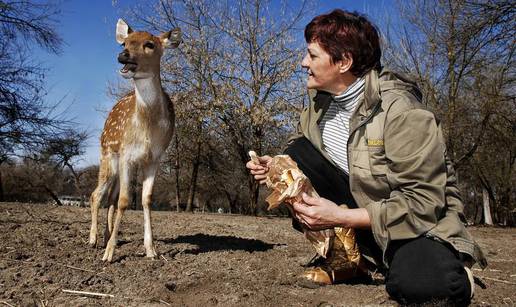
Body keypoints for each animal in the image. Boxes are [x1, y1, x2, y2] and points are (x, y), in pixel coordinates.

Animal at [86, 18, 179, 262]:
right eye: (124, 43)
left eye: (150, 44)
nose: (123, 55)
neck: (147, 128)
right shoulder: (128, 153)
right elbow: (125, 201)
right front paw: (109, 254)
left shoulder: (154, 158)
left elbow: (145, 199)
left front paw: (151, 250)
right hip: (108, 155)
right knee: (96, 194)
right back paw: (93, 240)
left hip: (119, 162)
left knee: (110, 197)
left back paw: (106, 236)